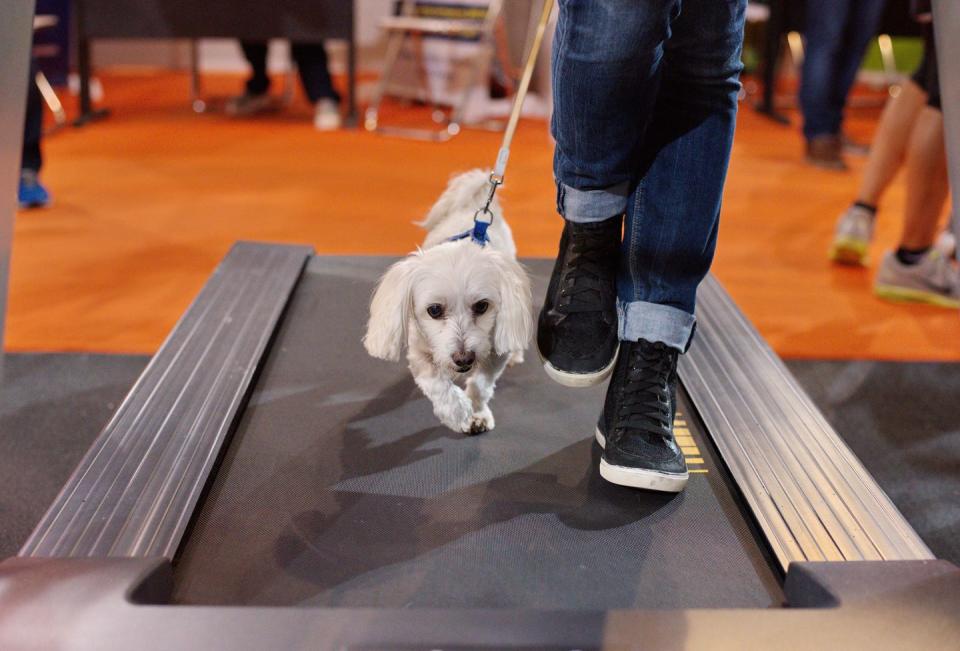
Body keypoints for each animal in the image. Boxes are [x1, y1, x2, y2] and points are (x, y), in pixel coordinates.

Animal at [364, 169, 536, 432]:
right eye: (434, 310)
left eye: (482, 306)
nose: (464, 359)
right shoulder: (419, 354)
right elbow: (436, 384)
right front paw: (456, 411)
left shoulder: (493, 354)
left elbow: (481, 384)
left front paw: (477, 412)